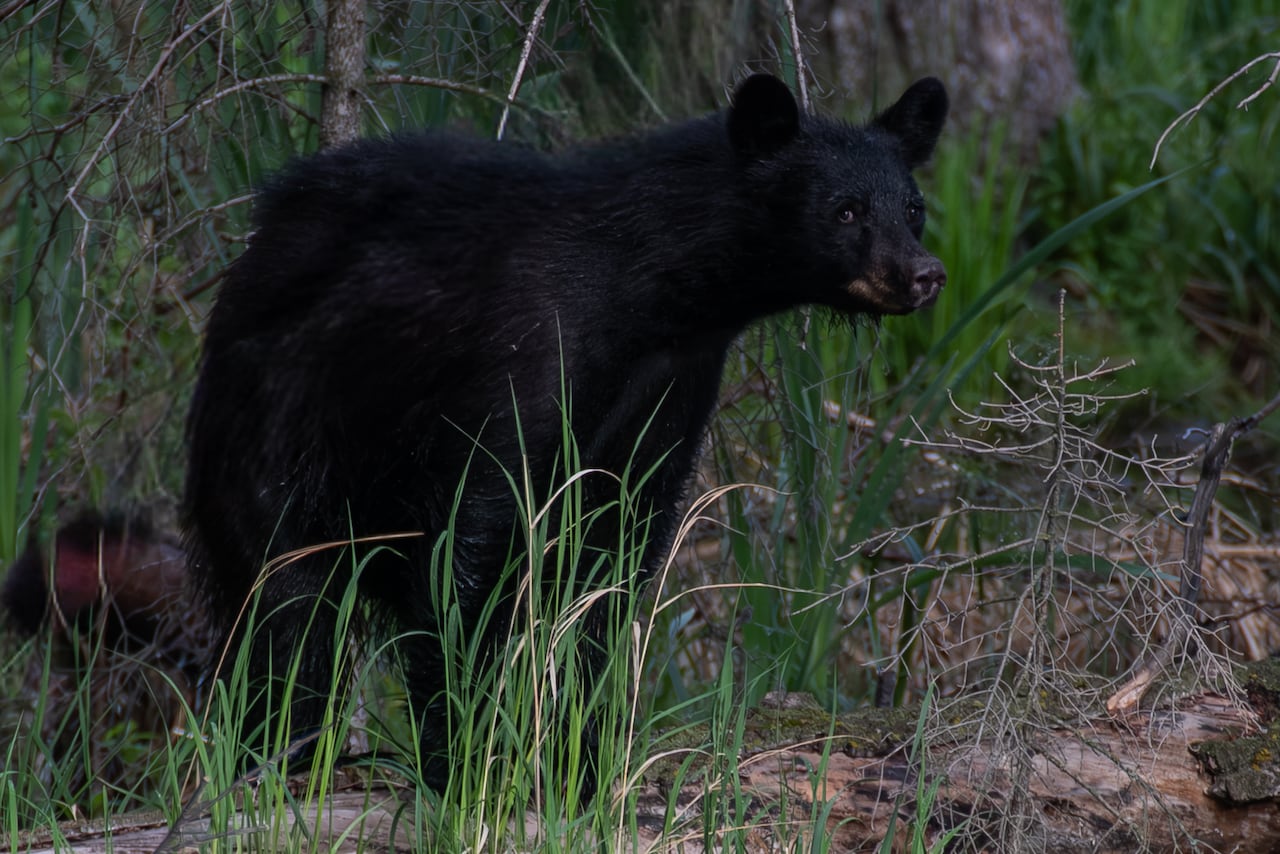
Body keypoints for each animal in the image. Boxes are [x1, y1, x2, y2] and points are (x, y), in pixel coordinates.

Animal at [182, 73, 948, 792]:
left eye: (914, 209)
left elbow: (614, 558)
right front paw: (468, 761)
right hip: (276, 434)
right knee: (287, 610)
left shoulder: (671, 391)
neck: (657, 299)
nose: (924, 274)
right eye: (845, 209)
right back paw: (272, 759)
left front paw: (587, 752)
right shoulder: (524, 359)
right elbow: (471, 550)